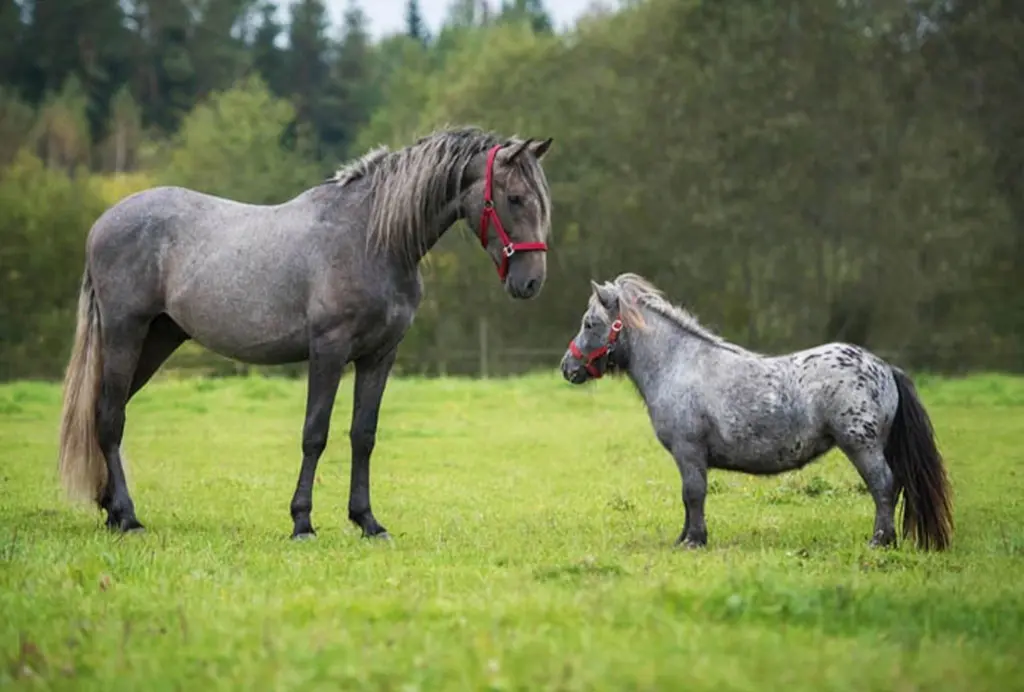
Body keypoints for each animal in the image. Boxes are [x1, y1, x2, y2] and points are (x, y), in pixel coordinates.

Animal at [58, 126, 555, 539]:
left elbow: (363, 435)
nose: (532, 282)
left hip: (156, 340)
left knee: (107, 412)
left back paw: (112, 511)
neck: (371, 238)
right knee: (110, 418)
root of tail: (103, 223)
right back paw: (128, 517)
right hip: (125, 333)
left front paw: (367, 521)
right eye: (514, 197)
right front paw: (302, 522)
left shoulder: (380, 356)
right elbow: (315, 433)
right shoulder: (328, 351)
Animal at [560, 273, 953, 551]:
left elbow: (693, 494)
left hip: (862, 446)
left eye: (590, 323)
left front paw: (694, 541)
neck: (678, 364)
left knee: (884, 485)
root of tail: (884, 367)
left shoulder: (689, 451)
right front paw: (685, 537)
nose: (567, 367)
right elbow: (690, 497)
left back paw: (879, 541)